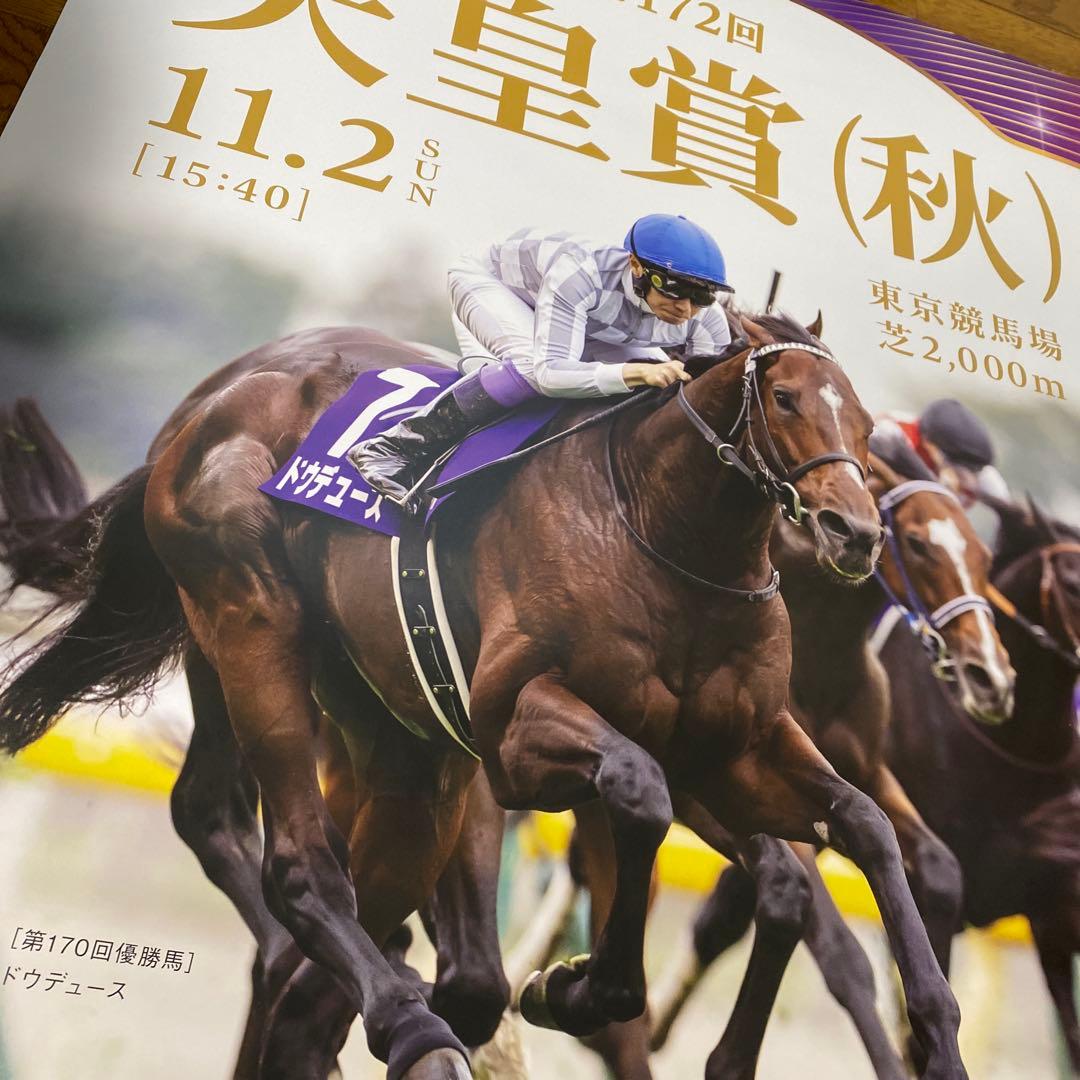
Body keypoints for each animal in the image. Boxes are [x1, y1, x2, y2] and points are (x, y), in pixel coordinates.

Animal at [0, 313, 968, 1079]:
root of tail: (204, 410)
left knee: (317, 985)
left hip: (402, 747)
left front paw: (935, 1031)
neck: (661, 534)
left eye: (865, 424)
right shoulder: (516, 734)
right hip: (248, 622)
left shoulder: (737, 751)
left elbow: (862, 828)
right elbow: (640, 791)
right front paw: (574, 988)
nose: (852, 531)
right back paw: (406, 1017)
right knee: (295, 869)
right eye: (787, 400)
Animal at [568, 441, 1015, 1079]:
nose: (991, 677)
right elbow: (837, 950)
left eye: (981, 555)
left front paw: (919, 1041)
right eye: (919, 544)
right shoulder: (737, 786)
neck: (822, 654)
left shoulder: (864, 771)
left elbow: (939, 870)